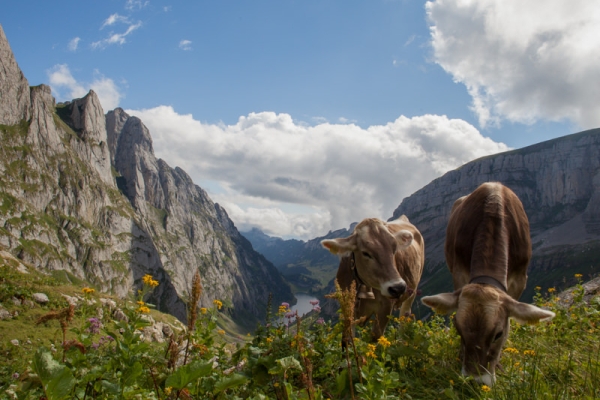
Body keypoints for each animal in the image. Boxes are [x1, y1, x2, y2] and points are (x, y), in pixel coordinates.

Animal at [422, 183, 552, 386]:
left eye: (498, 334)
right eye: (458, 329)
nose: (475, 380)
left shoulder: (519, 279)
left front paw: (498, 364)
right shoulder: (460, 272)